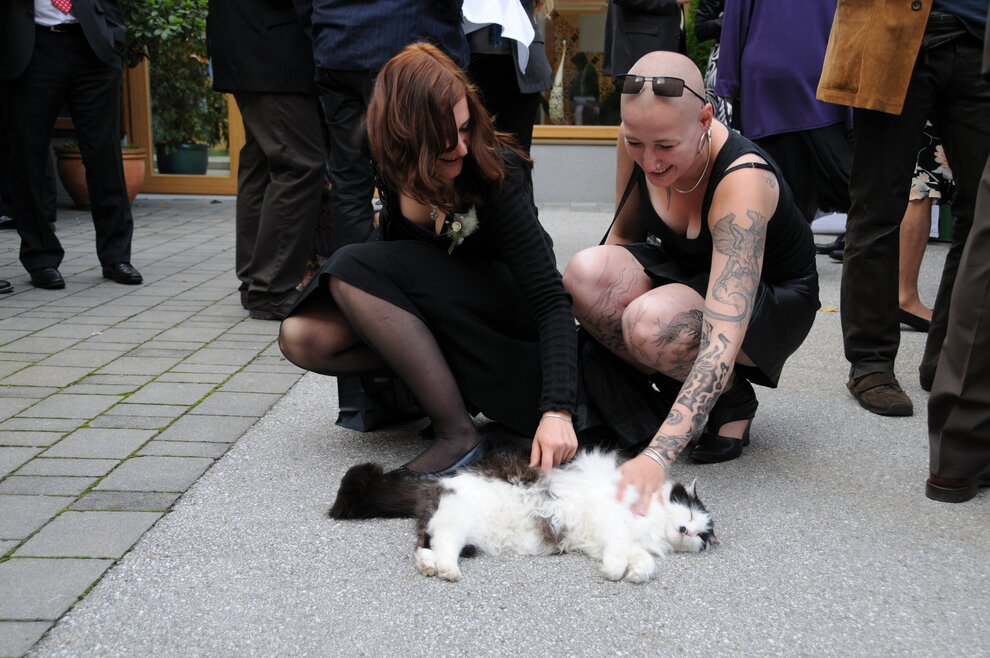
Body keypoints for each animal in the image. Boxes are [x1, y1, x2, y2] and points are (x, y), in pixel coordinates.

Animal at [329, 449, 716, 583]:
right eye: (689, 516)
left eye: (701, 536)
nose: (686, 531)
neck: (653, 524)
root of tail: (437, 483)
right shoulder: (613, 523)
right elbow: (621, 550)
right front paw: (615, 572)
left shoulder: (613, 541)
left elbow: (642, 561)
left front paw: (632, 574)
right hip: (456, 521)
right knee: (443, 548)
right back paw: (447, 572)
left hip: (455, 531)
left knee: (425, 546)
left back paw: (430, 567)